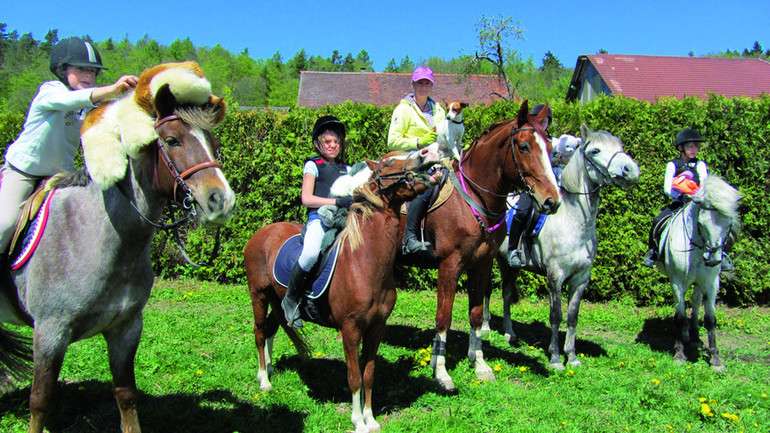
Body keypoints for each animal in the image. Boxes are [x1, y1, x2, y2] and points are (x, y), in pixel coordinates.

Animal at [0, 61, 236, 432]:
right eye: (172, 140)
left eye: (212, 142)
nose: (222, 201)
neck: (99, 239)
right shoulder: (50, 332)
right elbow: (40, 400)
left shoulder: (126, 329)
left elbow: (125, 394)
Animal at [243, 151, 440, 432]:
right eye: (389, 161)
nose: (427, 154)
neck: (364, 262)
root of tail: (262, 232)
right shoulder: (350, 329)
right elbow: (354, 377)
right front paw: (358, 421)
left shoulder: (377, 328)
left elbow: (368, 374)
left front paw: (371, 418)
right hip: (258, 296)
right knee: (259, 332)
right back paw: (263, 380)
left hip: (277, 300)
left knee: (271, 328)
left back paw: (269, 370)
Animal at [402, 100, 560, 388]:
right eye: (524, 146)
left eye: (550, 147)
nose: (552, 200)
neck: (473, 199)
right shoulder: (449, 266)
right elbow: (443, 318)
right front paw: (441, 371)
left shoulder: (481, 266)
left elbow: (476, 315)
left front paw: (480, 364)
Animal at [484, 124, 640, 368]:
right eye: (595, 151)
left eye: (620, 146)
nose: (631, 170)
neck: (574, 223)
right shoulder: (555, 276)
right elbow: (556, 315)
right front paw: (556, 358)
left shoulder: (581, 279)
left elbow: (572, 316)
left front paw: (572, 356)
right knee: (487, 290)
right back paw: (485, 327)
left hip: (509, 263)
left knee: (507, 292)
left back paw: (510, 333)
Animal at [648, 174, 736, 370]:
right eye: (701, 223)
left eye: (728, 224)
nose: (712, 260)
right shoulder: (677, 282)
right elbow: (681, 317)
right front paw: (680, 354)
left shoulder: (711, 283)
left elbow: (710, 319)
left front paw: (715, 358)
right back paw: (686, 336)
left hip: (699, 282)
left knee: (696, 302)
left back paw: (694, 336)